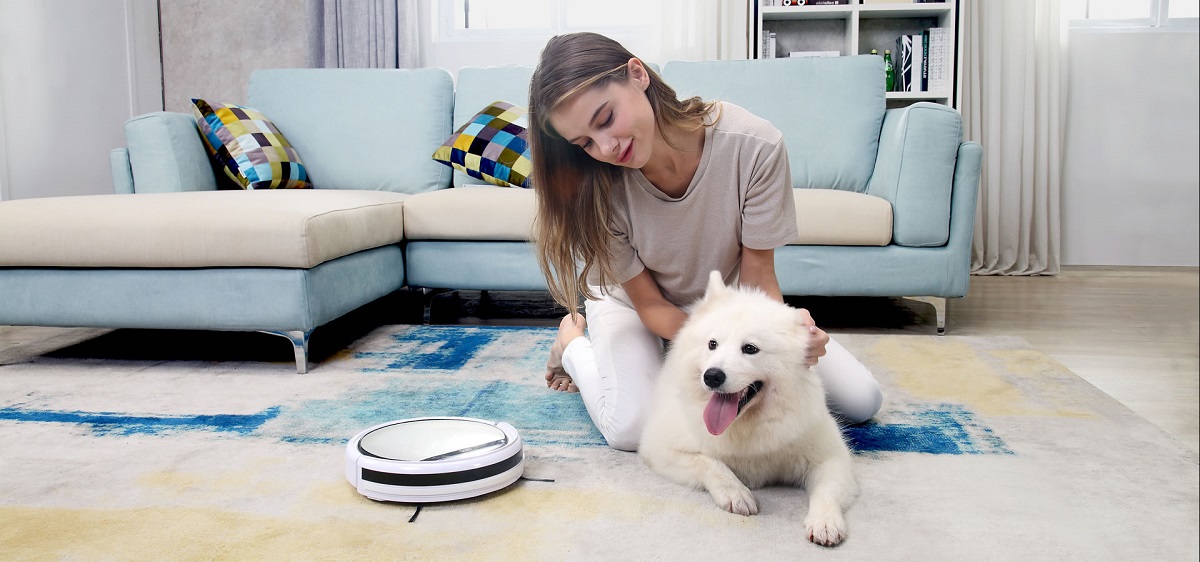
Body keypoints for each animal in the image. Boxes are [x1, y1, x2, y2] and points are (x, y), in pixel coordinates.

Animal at [638, 271, 858, 547]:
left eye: (750, 349)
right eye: (712, 344)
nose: (712, 376)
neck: (746, 426)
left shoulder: (832, 458)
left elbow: (826, 491)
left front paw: (825, 521)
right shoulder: (659, 448)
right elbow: (710, 463)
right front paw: (736, 493)